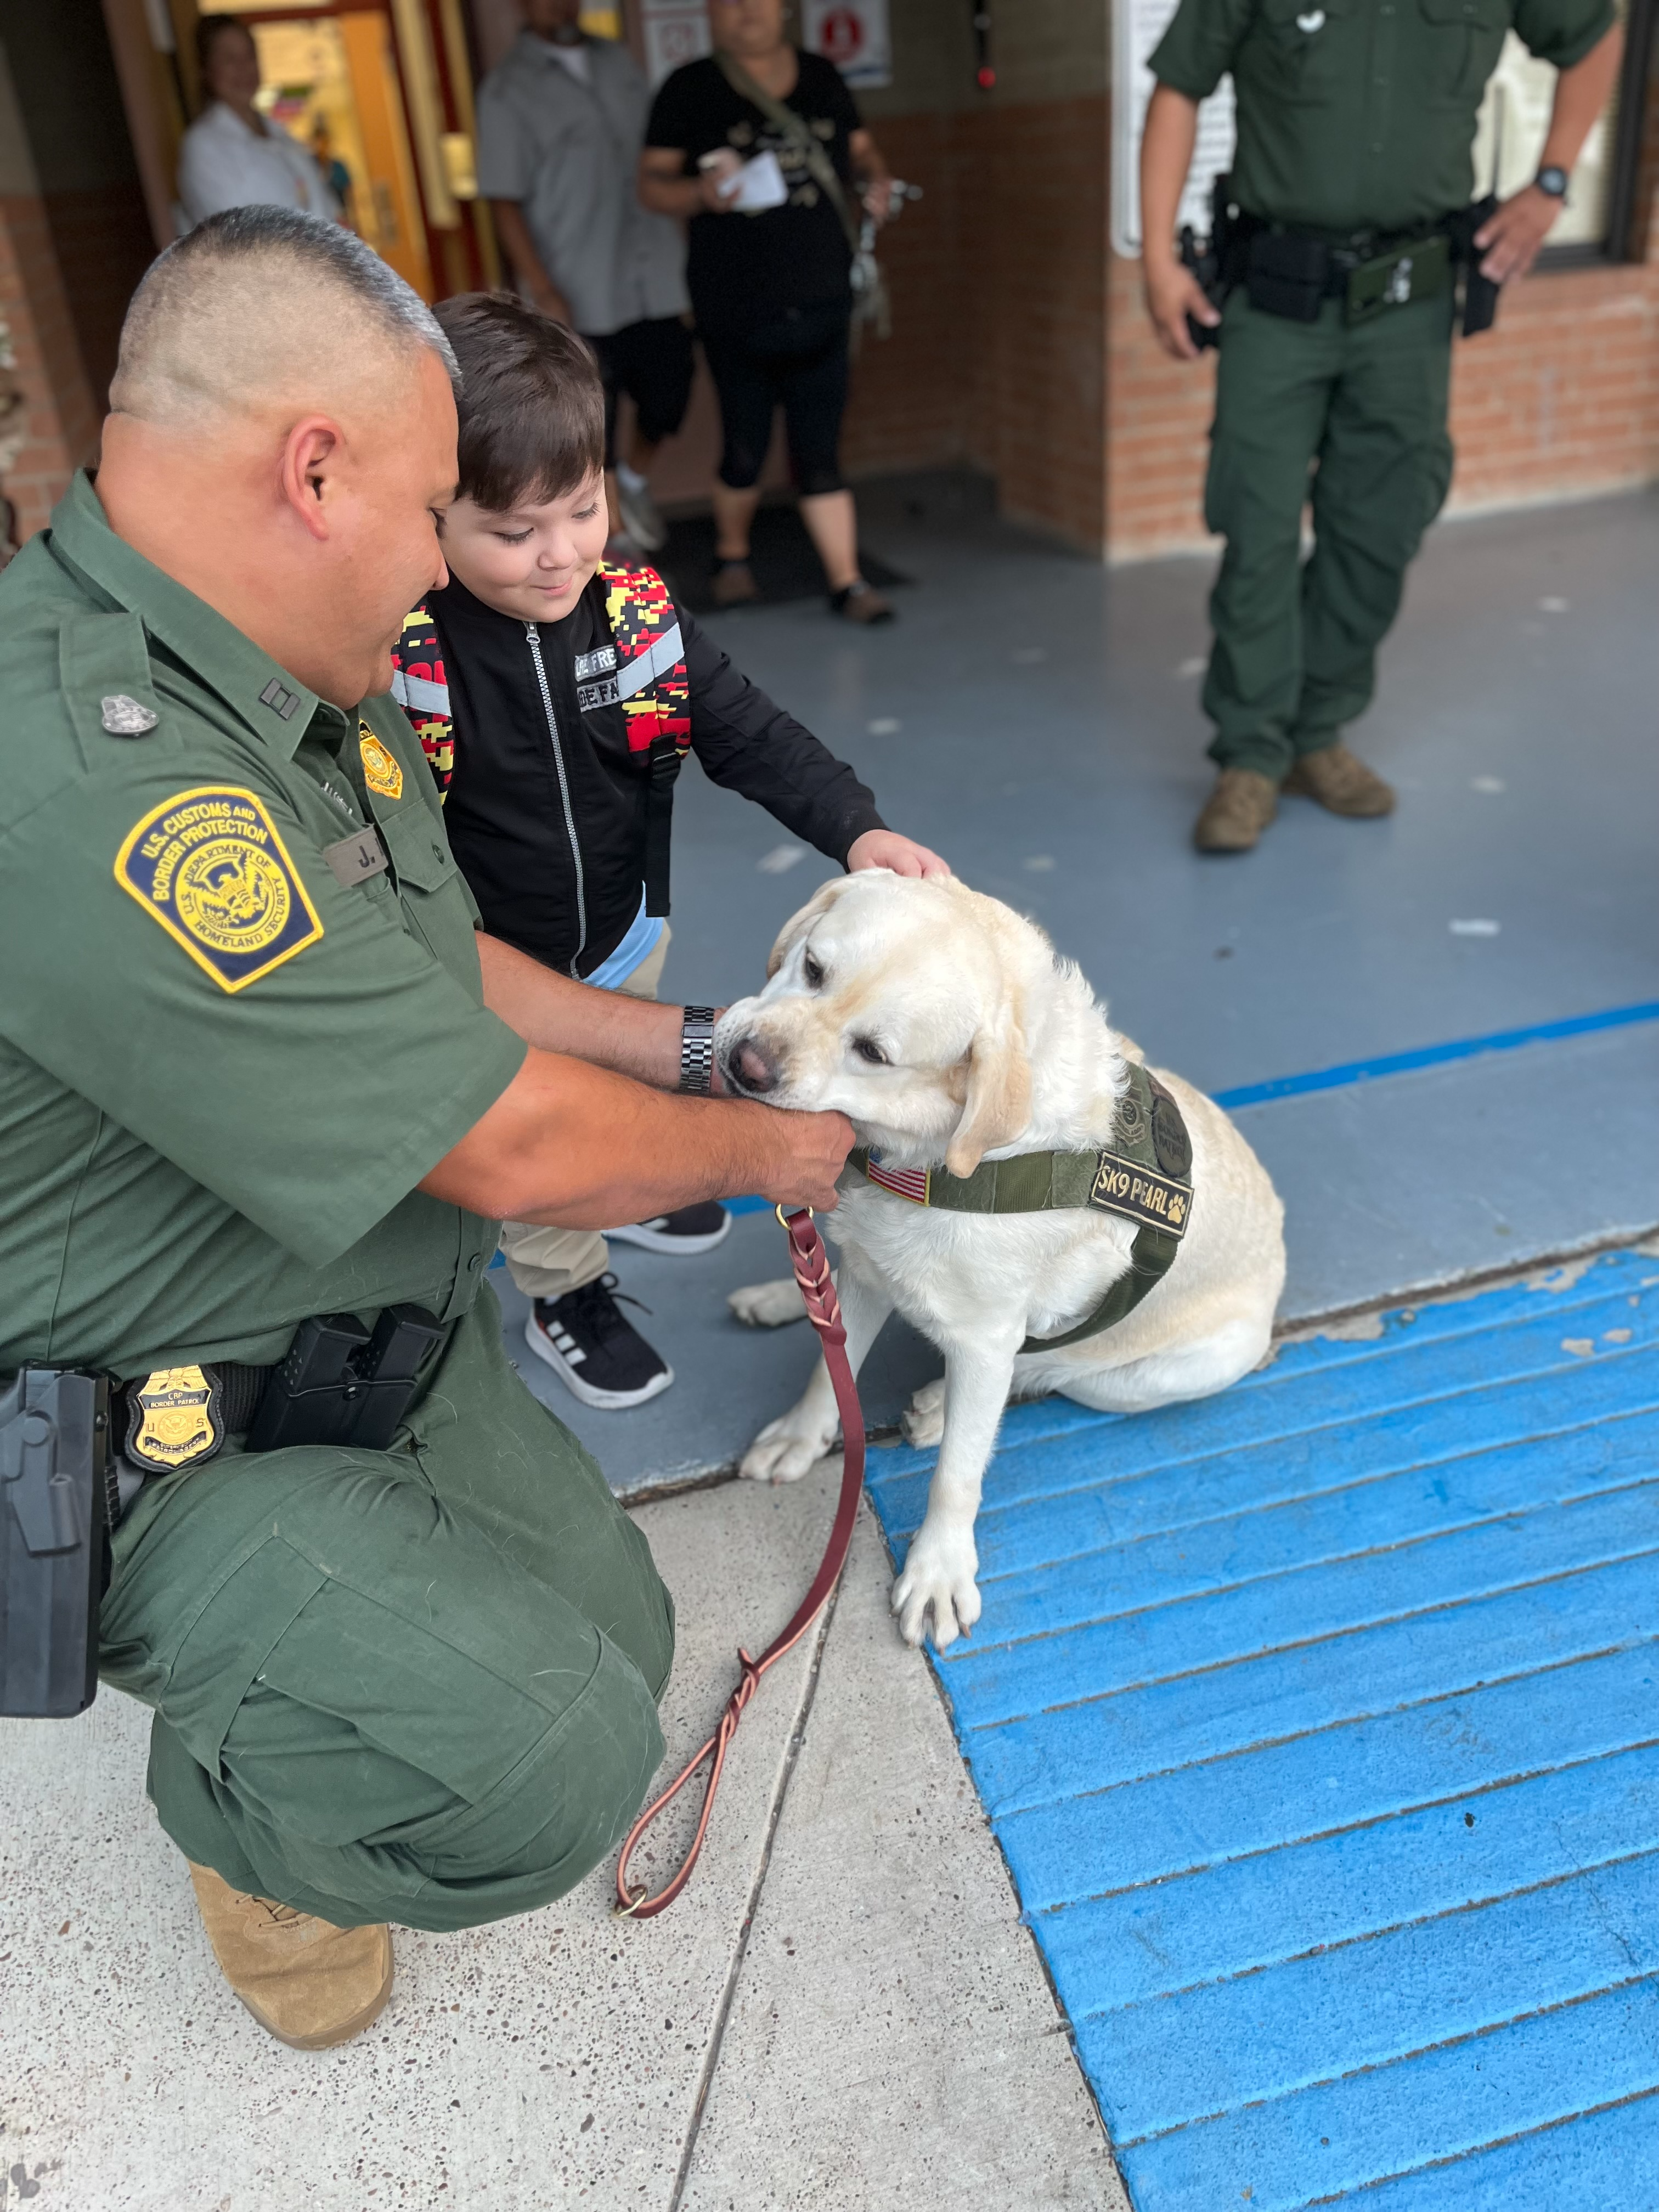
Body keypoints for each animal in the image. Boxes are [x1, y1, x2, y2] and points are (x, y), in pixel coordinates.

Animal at [716, 871, 1283, 1654]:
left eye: (874, 1051)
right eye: (813, 969)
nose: (745, 1063)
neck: (936, 1161)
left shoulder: (985, 1339)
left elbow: (957, 1474)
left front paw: (937, 1570)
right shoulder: (866, 1267)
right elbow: (830, 1368)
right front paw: (802, 1436)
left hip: (1156, 1374)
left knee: (1052, 1372)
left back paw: (936, 1408)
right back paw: (782, 1297)